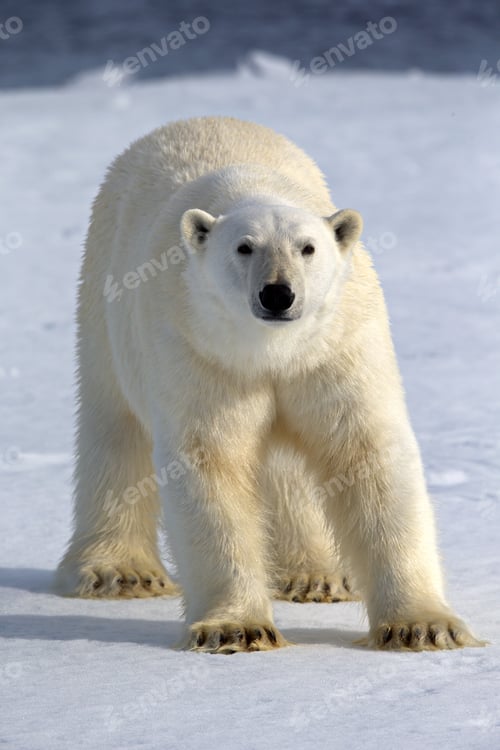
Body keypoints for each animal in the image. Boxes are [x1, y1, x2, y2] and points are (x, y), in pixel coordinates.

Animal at [56, 116, 483, 653]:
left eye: (308, 247)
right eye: (244, 247)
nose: (278, 294)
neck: (272, 350)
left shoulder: (335, 350)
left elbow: (366, 452)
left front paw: (423, 626)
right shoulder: (200, 351)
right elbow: (211, 461)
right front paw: (235, 628)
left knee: (287, 468)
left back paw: (316, 575)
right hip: (104, 303)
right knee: (113, 429)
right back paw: (118, 572)